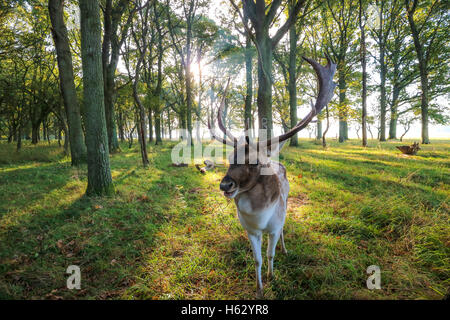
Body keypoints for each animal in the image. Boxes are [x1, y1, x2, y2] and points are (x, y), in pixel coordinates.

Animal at [209, 55, 336, 298]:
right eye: (229, 157)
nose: (225, 185)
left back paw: (286, 250)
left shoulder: (274, 227)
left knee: (285, 228)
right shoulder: (250, 231)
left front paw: (272, 276)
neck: (259, 217)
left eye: (255, 162)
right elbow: (257, 260)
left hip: (286, 205)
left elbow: (270, 254)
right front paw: (259, 287)